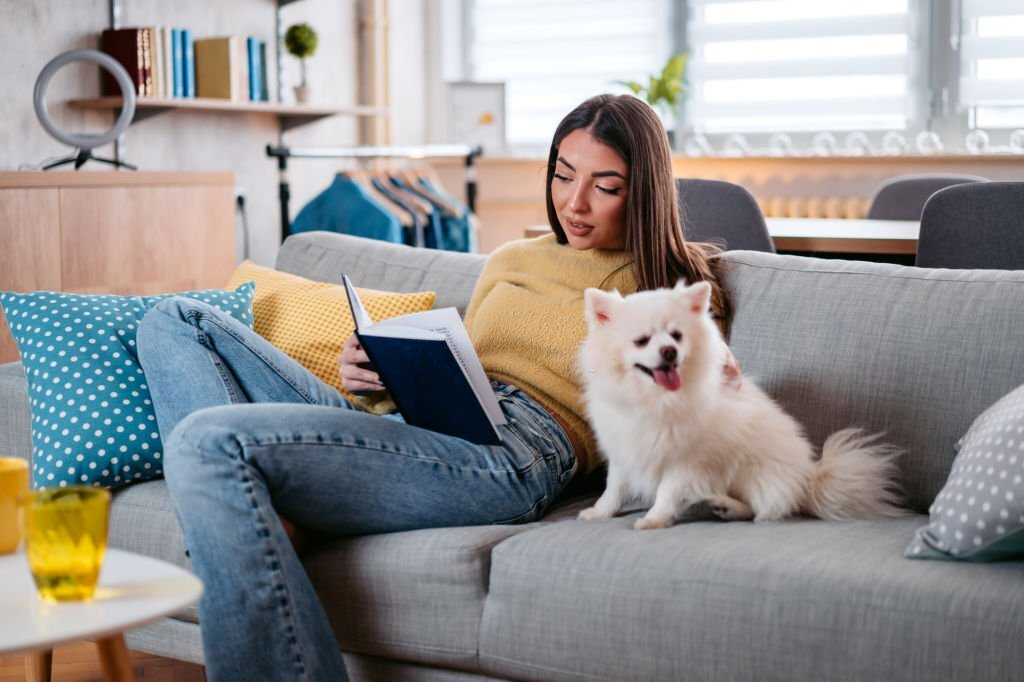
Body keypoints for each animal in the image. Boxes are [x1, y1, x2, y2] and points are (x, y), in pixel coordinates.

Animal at [577, 278, 905, 528]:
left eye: (677, 336)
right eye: (641, 340)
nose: (670, 351)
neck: (655, 399)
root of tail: (808, 478)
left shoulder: (687, 461)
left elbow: (667, 493)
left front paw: (653, 520)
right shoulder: (625, 448)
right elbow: (614, 487)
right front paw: (600, 512)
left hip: (751, 469)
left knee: (760, 508)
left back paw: (727, 506)